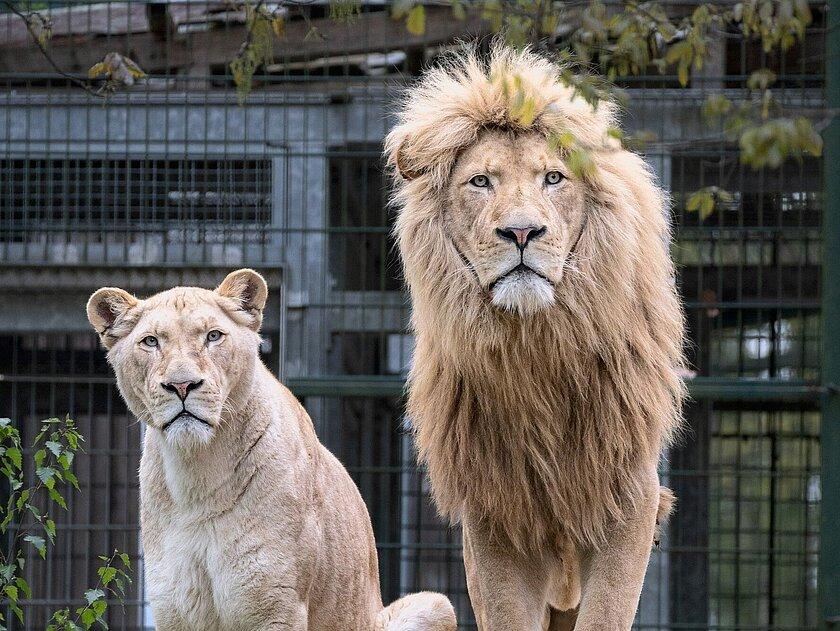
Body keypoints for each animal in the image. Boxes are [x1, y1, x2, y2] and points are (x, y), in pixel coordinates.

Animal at [83, 270, 460, 628]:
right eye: (151, 341)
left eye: (213, 336)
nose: (182, 385)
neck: (198, 475)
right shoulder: (175, 609)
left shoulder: (278, 603)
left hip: (436, 604)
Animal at [384, 47, 684, 628]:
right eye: (480, 182)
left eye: (553, 178)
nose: (522, 232)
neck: (536, 347)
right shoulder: (495, 512)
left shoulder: (626, 499)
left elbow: (608, 612)